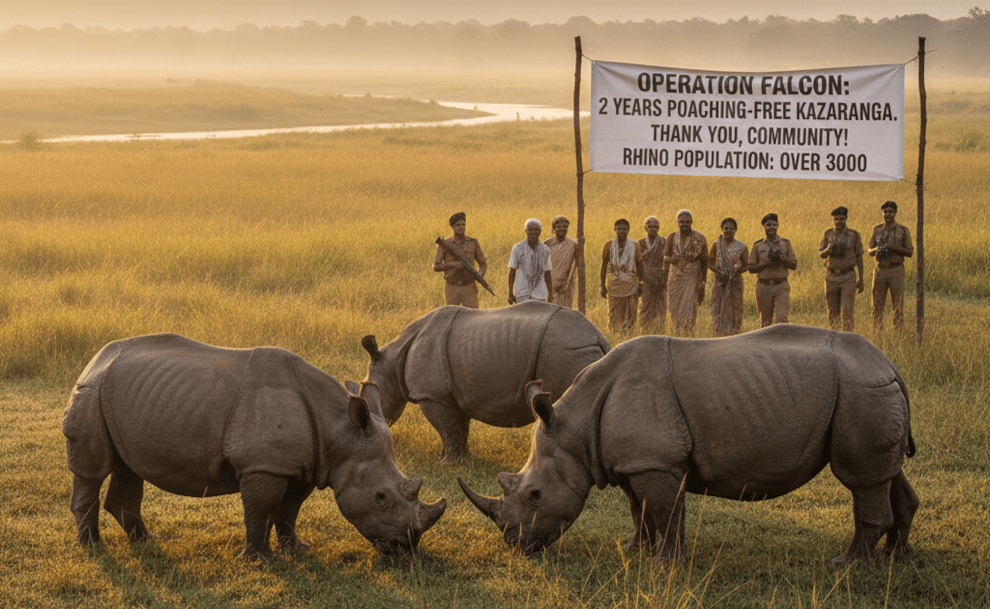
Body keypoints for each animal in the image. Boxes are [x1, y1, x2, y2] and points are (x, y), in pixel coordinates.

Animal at [63, 333, 446, 559]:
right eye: (380, 497)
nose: (406, 546)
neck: (339, 431)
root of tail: (95, 358)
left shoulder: (304, 464)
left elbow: (290, 509)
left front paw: (297, 549)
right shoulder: (264, 465)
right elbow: (260, 510)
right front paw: (259, 560)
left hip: (126, 393)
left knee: (129, 467)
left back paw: (148, 541)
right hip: (93, 389)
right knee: (93, 469)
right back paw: (93, 547)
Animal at [360, 300, 611, 463]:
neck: (393, 361)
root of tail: (597, 336)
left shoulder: (433, 395)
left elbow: (446, 428)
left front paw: (445, 464)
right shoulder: (452, 395)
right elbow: (458, 428)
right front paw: (461, 458)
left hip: (563, 350)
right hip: (572, 350)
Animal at [459, 325, 919, 564]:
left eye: (535, 495)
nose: (517, 545)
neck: (576, 429)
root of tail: (888, 364)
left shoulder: (656, 460)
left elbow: (664, 511)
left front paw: (665, 565)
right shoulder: (636, 461)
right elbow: (640, 510)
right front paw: (632, 552)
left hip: (860, 390)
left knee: (860, 480)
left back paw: (848, 565)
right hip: (868, 389)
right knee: (886, 474)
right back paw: (897, 557)